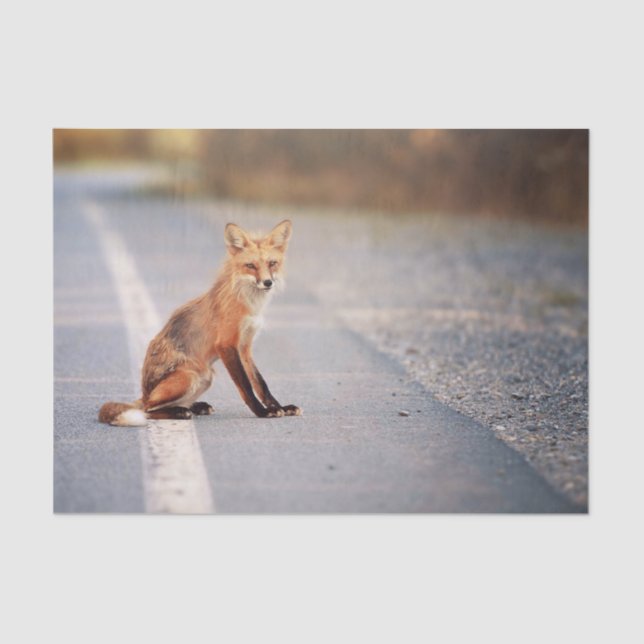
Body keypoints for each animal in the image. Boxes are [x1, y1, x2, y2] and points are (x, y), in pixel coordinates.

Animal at [98, 219, 301, 426]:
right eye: (250, 265)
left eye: (272, 263)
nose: (268, 282)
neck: (249, 304)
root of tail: (144, 392)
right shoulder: (226, 344)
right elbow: (245, 386)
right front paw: (262, 411)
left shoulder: (245, 346)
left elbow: (260, 383)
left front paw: (279, 407)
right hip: (192, 376)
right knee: (148, 409)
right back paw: (180, 412)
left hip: (205, 377)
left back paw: (195, 407)